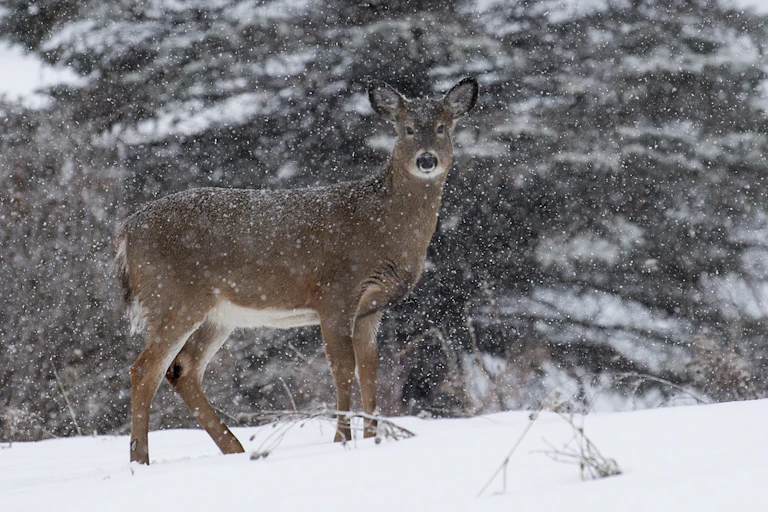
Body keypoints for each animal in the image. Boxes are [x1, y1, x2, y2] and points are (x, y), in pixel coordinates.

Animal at [115, 77, 479, 464]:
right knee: (144, 370)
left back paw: (235, 449)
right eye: (406, 128)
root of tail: (126, 231)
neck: (381, 225)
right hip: (172, 298)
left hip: (217, 315)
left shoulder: (370, 307)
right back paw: (140, 460)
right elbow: (343, 367)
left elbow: (370, 368)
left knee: (181, 370)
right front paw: (342, 440)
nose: (426, 159)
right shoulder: (335, 292)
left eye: (442, 127)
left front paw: (373, 437)